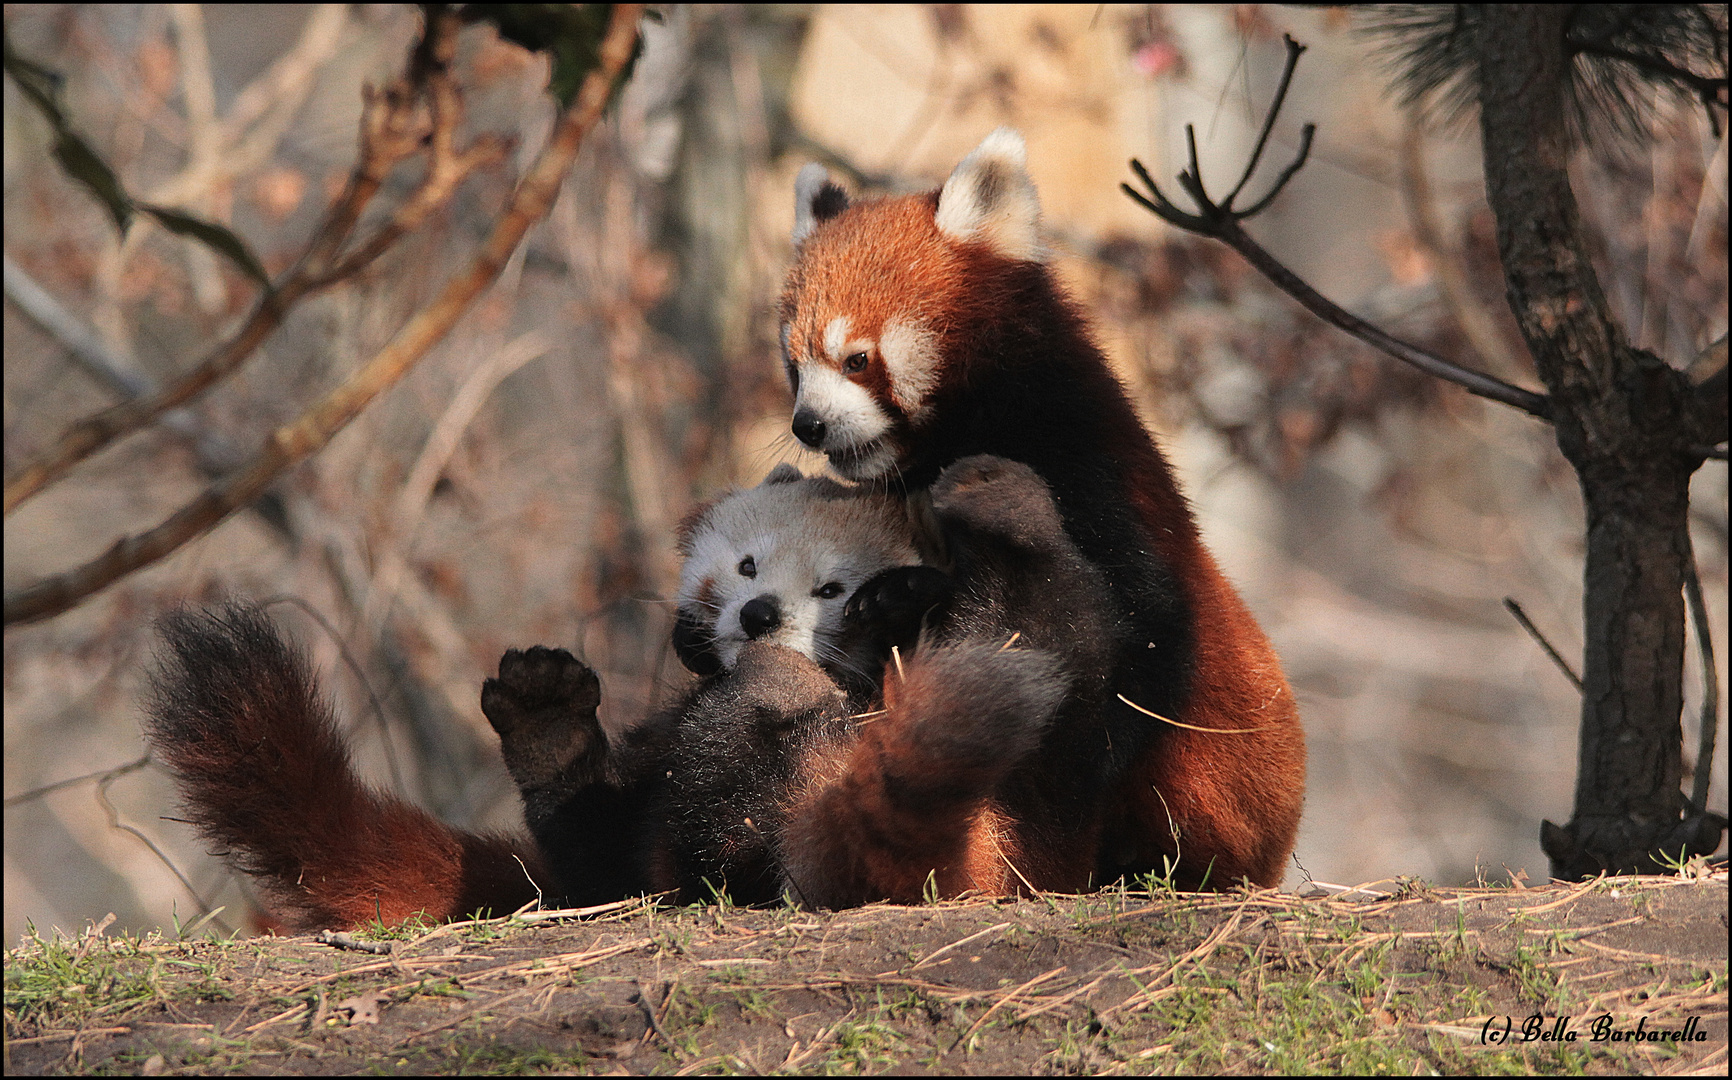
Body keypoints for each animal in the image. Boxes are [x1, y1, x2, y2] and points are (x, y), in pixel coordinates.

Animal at [772, 126, 1302, 893]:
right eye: (795, 365)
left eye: (856, 360)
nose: (808, 425)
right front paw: (895, 598)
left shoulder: (1084, 468)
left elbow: (1140, 640)